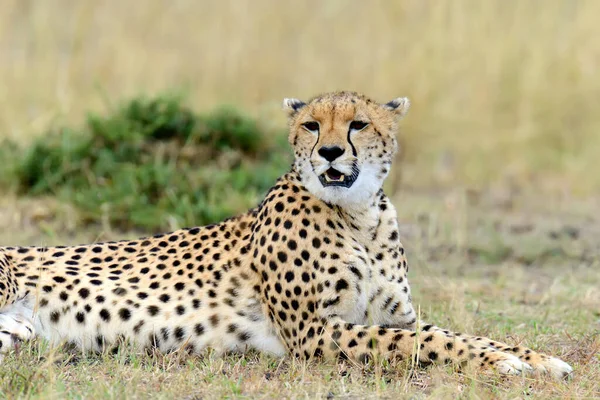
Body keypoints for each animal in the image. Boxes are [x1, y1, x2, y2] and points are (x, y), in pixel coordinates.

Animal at [0, 90, 576, 378]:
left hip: (19, 334)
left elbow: (452, 333)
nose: (330, 152)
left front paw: (534, 358)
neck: (360, 216)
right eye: (311, 126)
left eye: (358, 124)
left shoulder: (393, 314)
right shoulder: (314, 332)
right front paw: (507, 362)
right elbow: (429, 341)